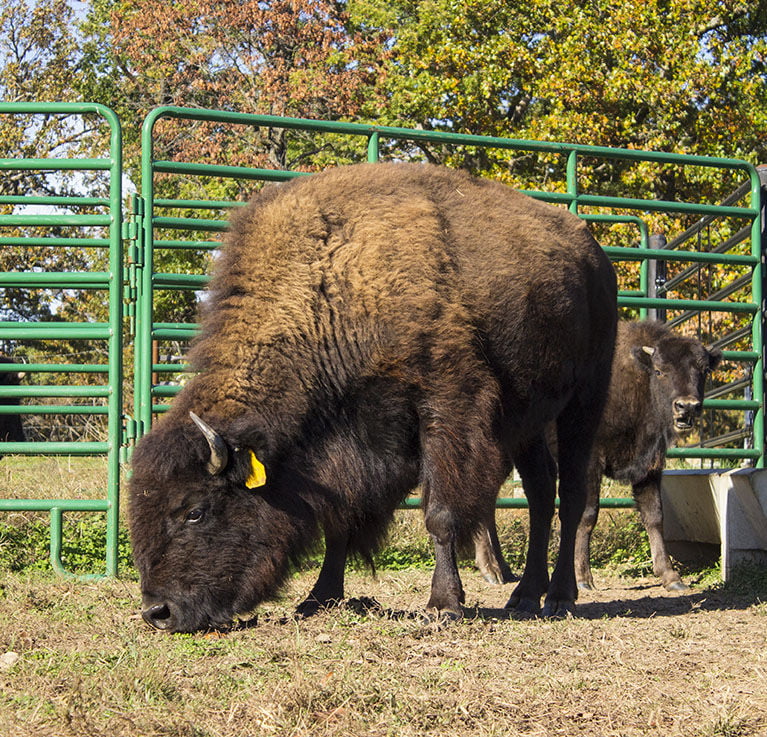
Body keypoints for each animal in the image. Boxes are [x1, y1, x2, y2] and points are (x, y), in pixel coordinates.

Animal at [129, 162, 617, 632]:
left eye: (195, 511)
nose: (158, 612)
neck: (334, 285)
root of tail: (596, 258)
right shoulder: (351, 448)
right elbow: (341, 520)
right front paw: (318, 598)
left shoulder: (447, 405)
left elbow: (439, 513)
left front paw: (443, 604)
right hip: (527, 421)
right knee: (540, 491)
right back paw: (525, 595)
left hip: (583, 402)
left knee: (572, 493)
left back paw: (559, 596)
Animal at [474, 320, 721, 591]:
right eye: (660, 371)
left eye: (704, 371)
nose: (687, 406)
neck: (636, 376)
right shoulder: (591, 461)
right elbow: (588, 514)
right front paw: (583, 577)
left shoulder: (649, 466)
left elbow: (655, 516)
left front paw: (671, 577)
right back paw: (491, 570)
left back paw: (503, 570)